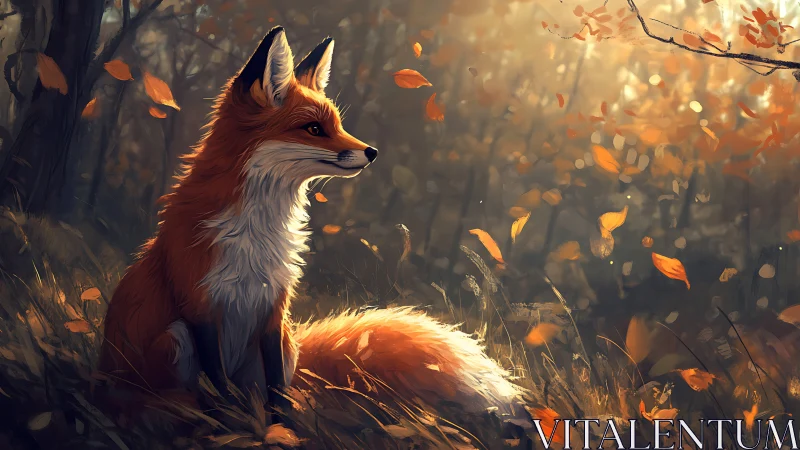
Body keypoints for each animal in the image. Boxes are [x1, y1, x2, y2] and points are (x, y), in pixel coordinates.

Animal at [97, 26, 521, 416]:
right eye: (314, 129)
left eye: (337, 124)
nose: (372, 152)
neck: (258, 232)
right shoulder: (198, 306)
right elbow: (216, 378)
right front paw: (235, 419)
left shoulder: (274, 308)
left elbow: (274, 388)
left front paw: (280, 426)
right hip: (174, 338)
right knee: (179, 395)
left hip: (286, 343)